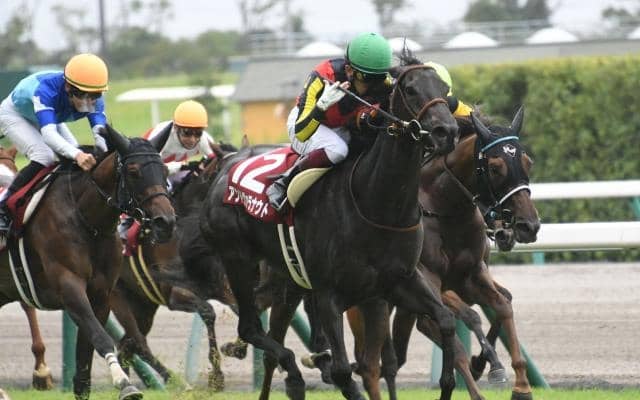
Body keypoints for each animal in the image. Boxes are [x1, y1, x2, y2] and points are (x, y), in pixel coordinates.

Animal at [0, 125, 175, 400]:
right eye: (134, 172)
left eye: (165, 171)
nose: (165, 222)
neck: (87, 220)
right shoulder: (69, 287)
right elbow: (101, 338)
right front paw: (125, 383)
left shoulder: (101, 295)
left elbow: (85, 357)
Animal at [198, 54, 460, 400]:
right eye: (411, 89)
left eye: (445, 88)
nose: (447, 131)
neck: (376, 204)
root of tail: (225, 166)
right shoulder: (328, 295)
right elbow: (341, 370)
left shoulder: (397, 282)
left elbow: (446, 320)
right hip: (238, 259)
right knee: (253, 329)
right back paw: (293, 373)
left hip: (288, 280)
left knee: (272, 343)